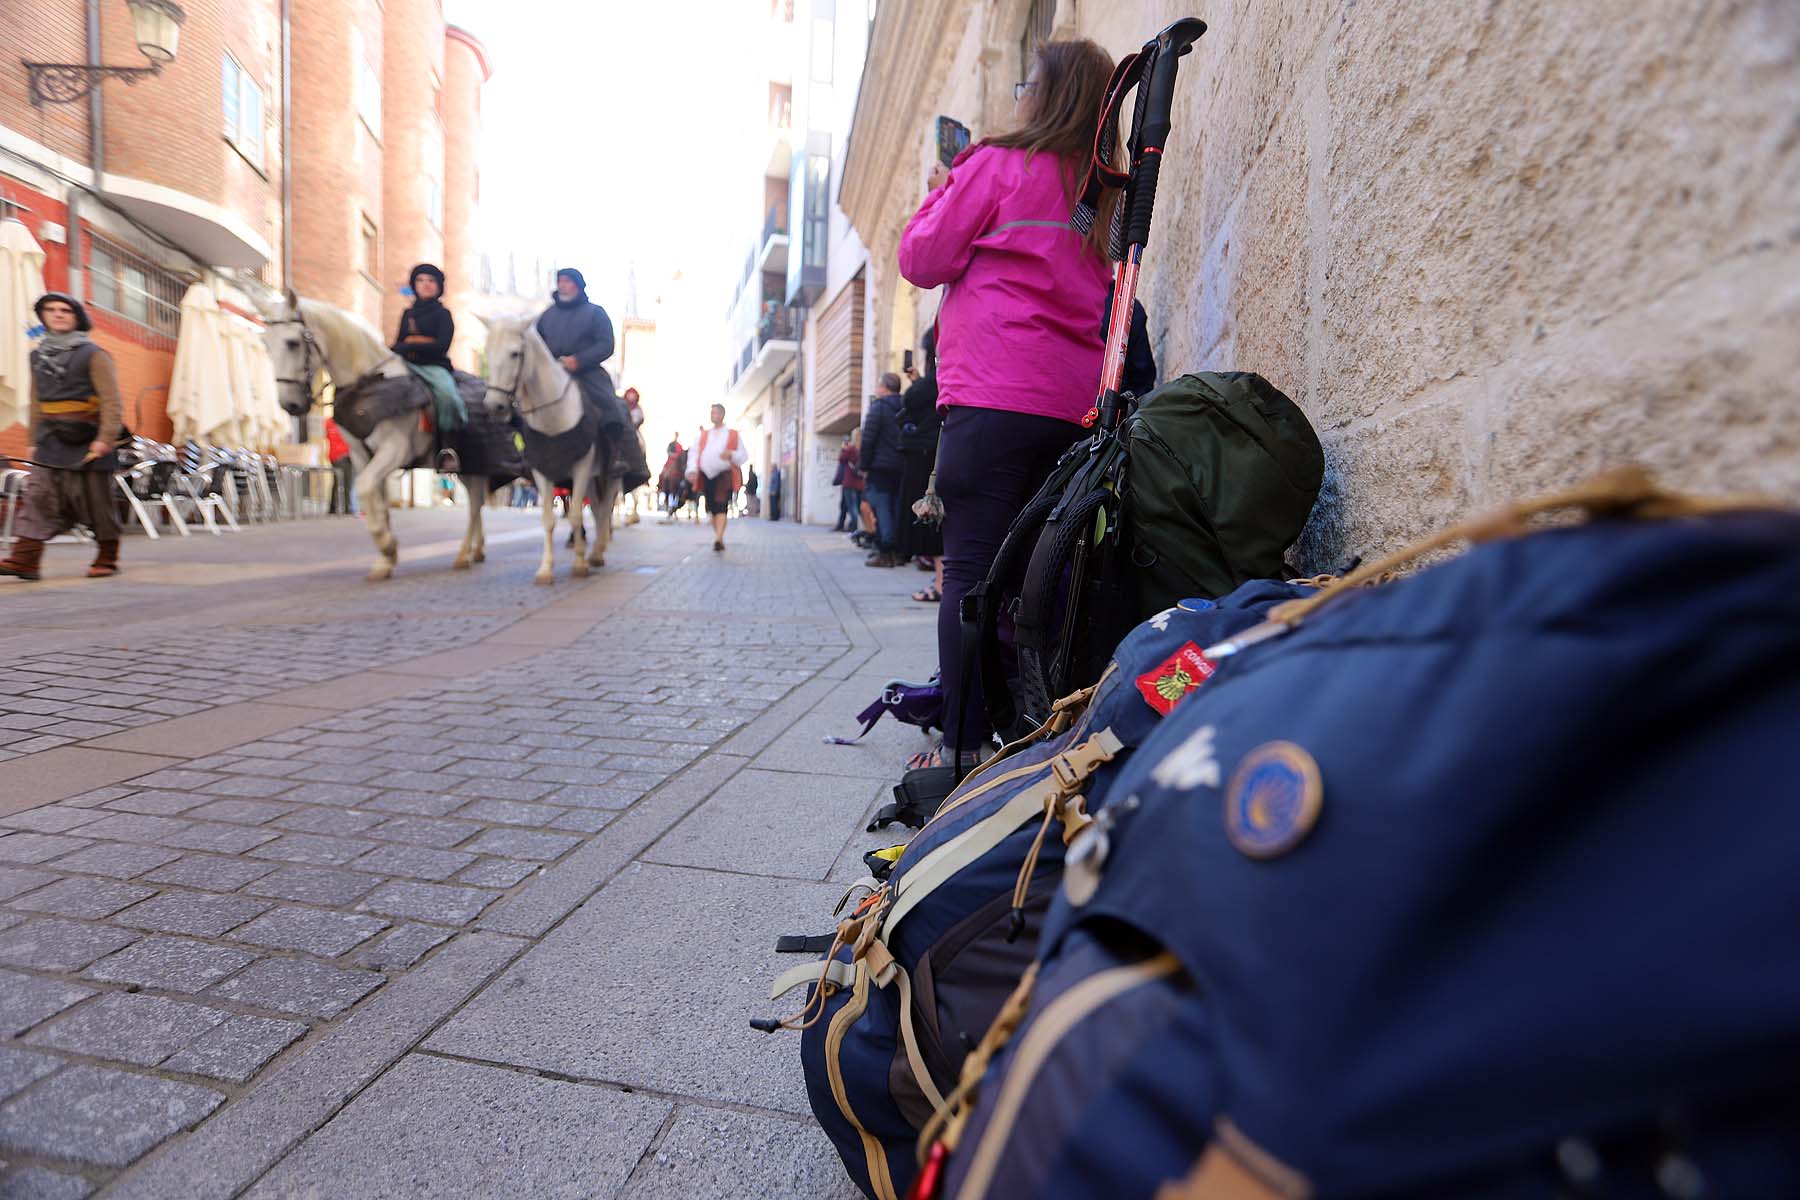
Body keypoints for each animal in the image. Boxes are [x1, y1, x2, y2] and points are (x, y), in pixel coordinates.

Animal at [261, 286, 493, 575]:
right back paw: (476, 550)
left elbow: (364, 486)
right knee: (476, 502)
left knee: (474, 504)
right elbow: (376, 499)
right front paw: (386, 558)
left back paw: (463, 554)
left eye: (292, 342)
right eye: (266, 344)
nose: (289, 404)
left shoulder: (394, 449)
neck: (370, 385)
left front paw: (387, 545)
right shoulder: (362, 455)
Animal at [478, 314, 619, 586]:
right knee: (598, 510)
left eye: (515, 353)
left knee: (605, 508)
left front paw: (579, 565)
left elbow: (575, 515)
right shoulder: (543, 472)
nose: (494, 407)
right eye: (488, 351)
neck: (553, 417)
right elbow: (548, 519)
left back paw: (597, 553)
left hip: (611, 476)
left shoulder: (581, 467)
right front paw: (545, 569)